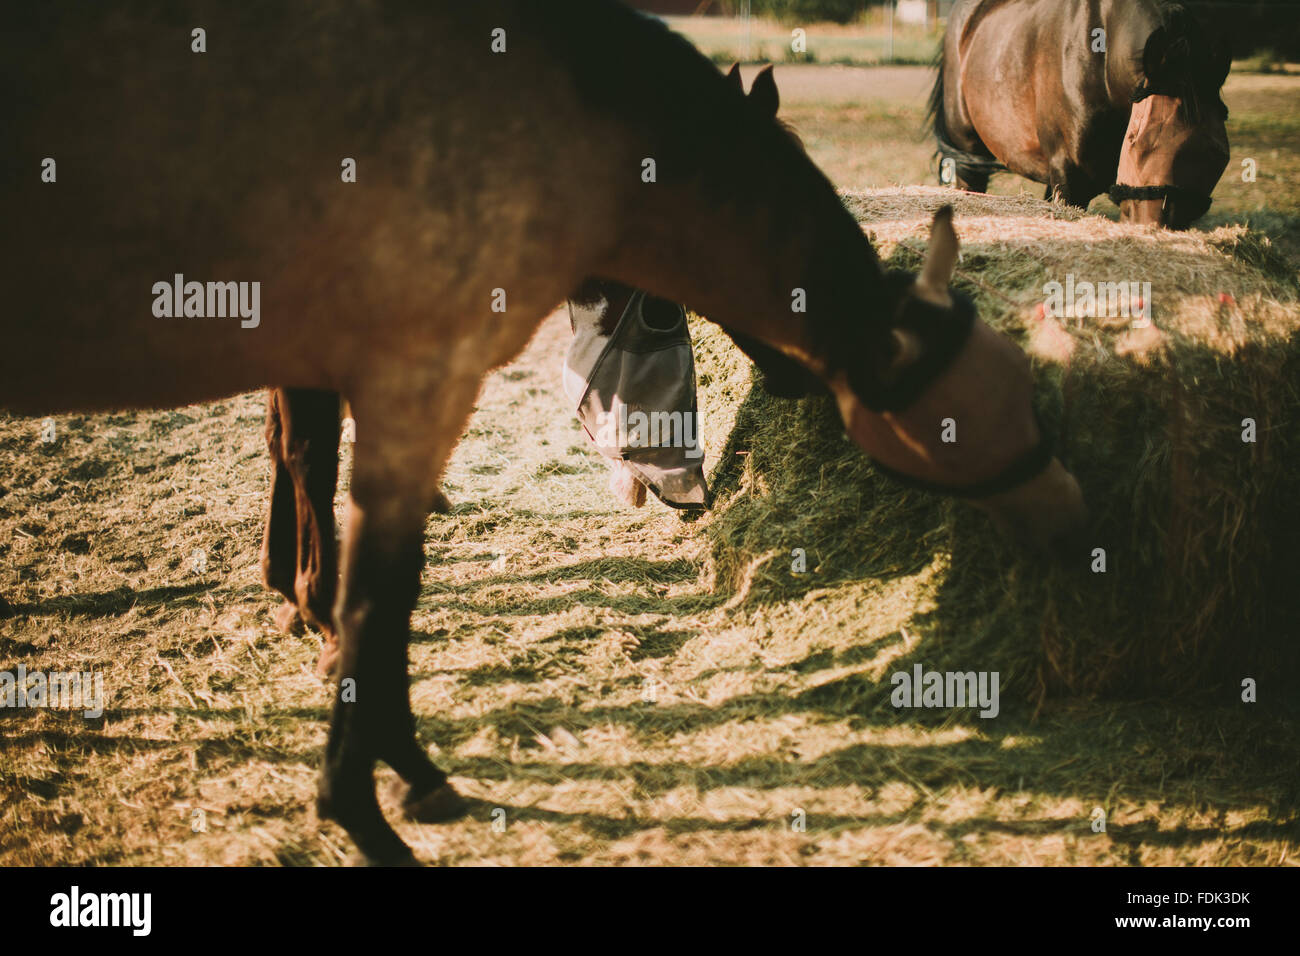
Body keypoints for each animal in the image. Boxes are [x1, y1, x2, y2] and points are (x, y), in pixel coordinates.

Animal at [2, 0, 1086, 868]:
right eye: (966, 418)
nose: (1070, 510)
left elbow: (345, 534)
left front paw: (383, 739)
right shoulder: (405, 386)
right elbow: (375, 591)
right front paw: (365, 801)